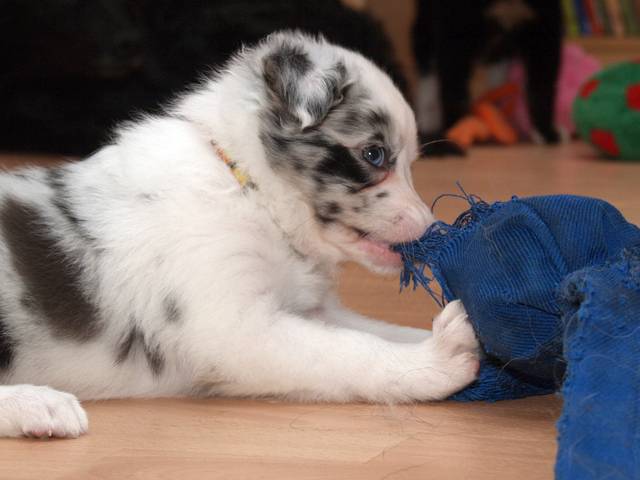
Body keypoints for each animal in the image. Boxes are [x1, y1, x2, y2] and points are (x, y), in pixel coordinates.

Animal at [0, 32, 479, 438]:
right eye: (374, 154)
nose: (430, 225)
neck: (248, 189)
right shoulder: (235, 328)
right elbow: (354, 351)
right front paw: (437, 360)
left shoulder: (311, 309)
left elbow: (384, 331)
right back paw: (38, 404)